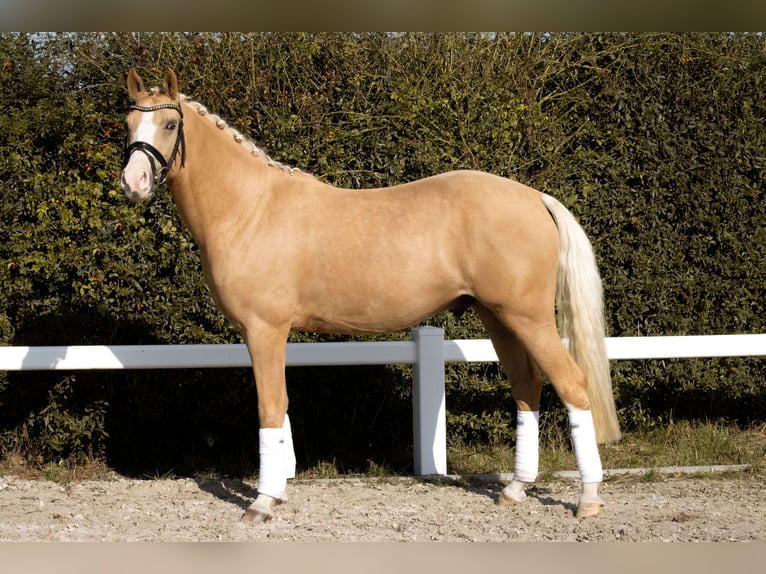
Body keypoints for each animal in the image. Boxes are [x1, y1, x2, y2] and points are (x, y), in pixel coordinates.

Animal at [121, 68, 624, 528]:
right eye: (128, 123)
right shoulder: (268, 334)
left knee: (572, 385)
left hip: (529, 319)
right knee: (526, 388)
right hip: (499, 319)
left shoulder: (265, 330)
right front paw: (278, 492)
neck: (252, 208)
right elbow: (281, 409)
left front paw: (262, 502)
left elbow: (270, 408)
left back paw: (589, 500)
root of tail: (537, 198)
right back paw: (516, 490)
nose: (133, 181)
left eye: (170, 124)